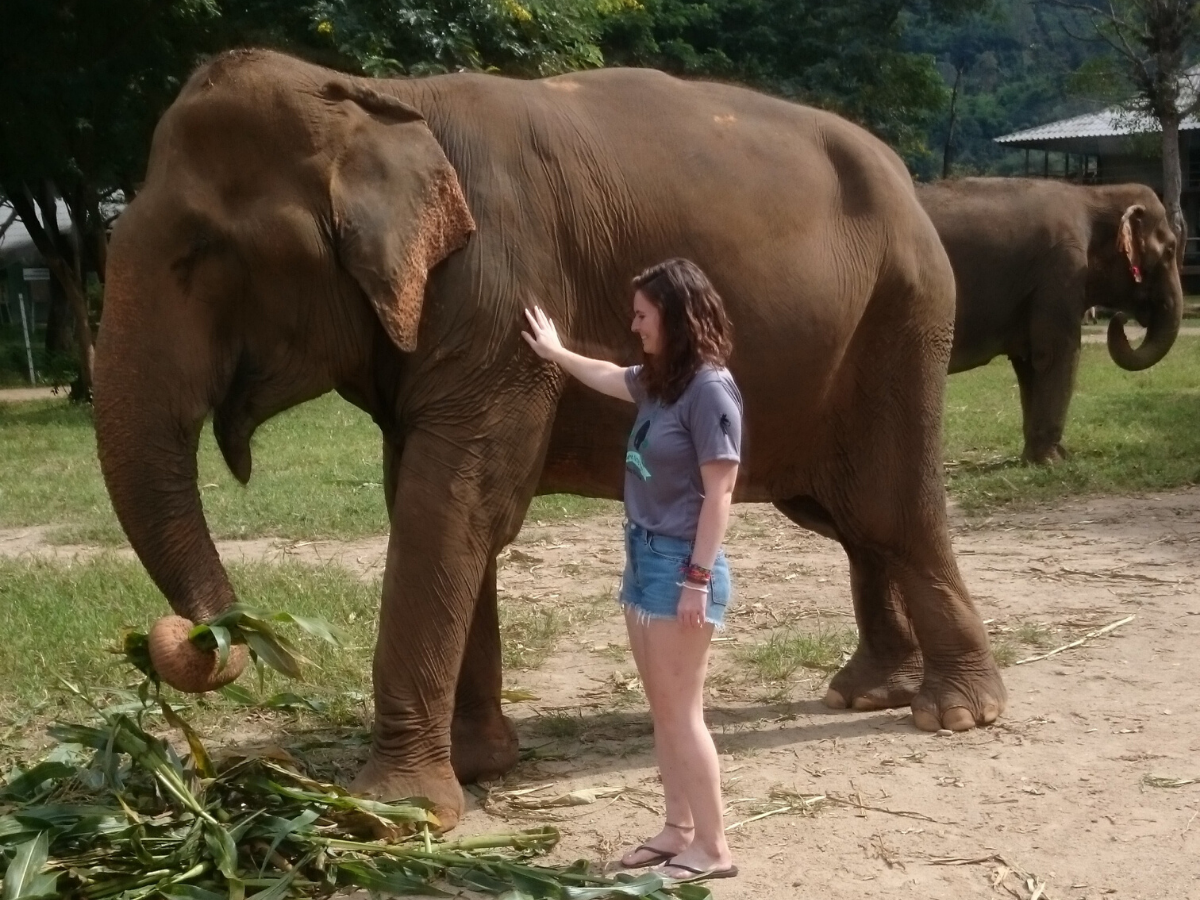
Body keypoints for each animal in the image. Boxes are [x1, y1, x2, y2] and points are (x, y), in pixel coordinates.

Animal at [98, 49, 1008, 830]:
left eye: (200, 253)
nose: (205, 641)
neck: (379, 97)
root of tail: (908, 184)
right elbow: (438, 507)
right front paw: (478, 766)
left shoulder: (498, 288)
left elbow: (453, 506)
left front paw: (394, 813)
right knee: (848, 519)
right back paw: (868, 692)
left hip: (904, 319)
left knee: (893, 508)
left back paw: (956, 712)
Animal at [916, 177, 1180, 465]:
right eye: (1170, 250)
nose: (1120, 318)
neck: (1094, 193)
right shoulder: (1062, 268)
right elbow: (1056, 353)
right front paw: (1053, 461)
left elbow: (1029, 362)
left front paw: (1041, 458)